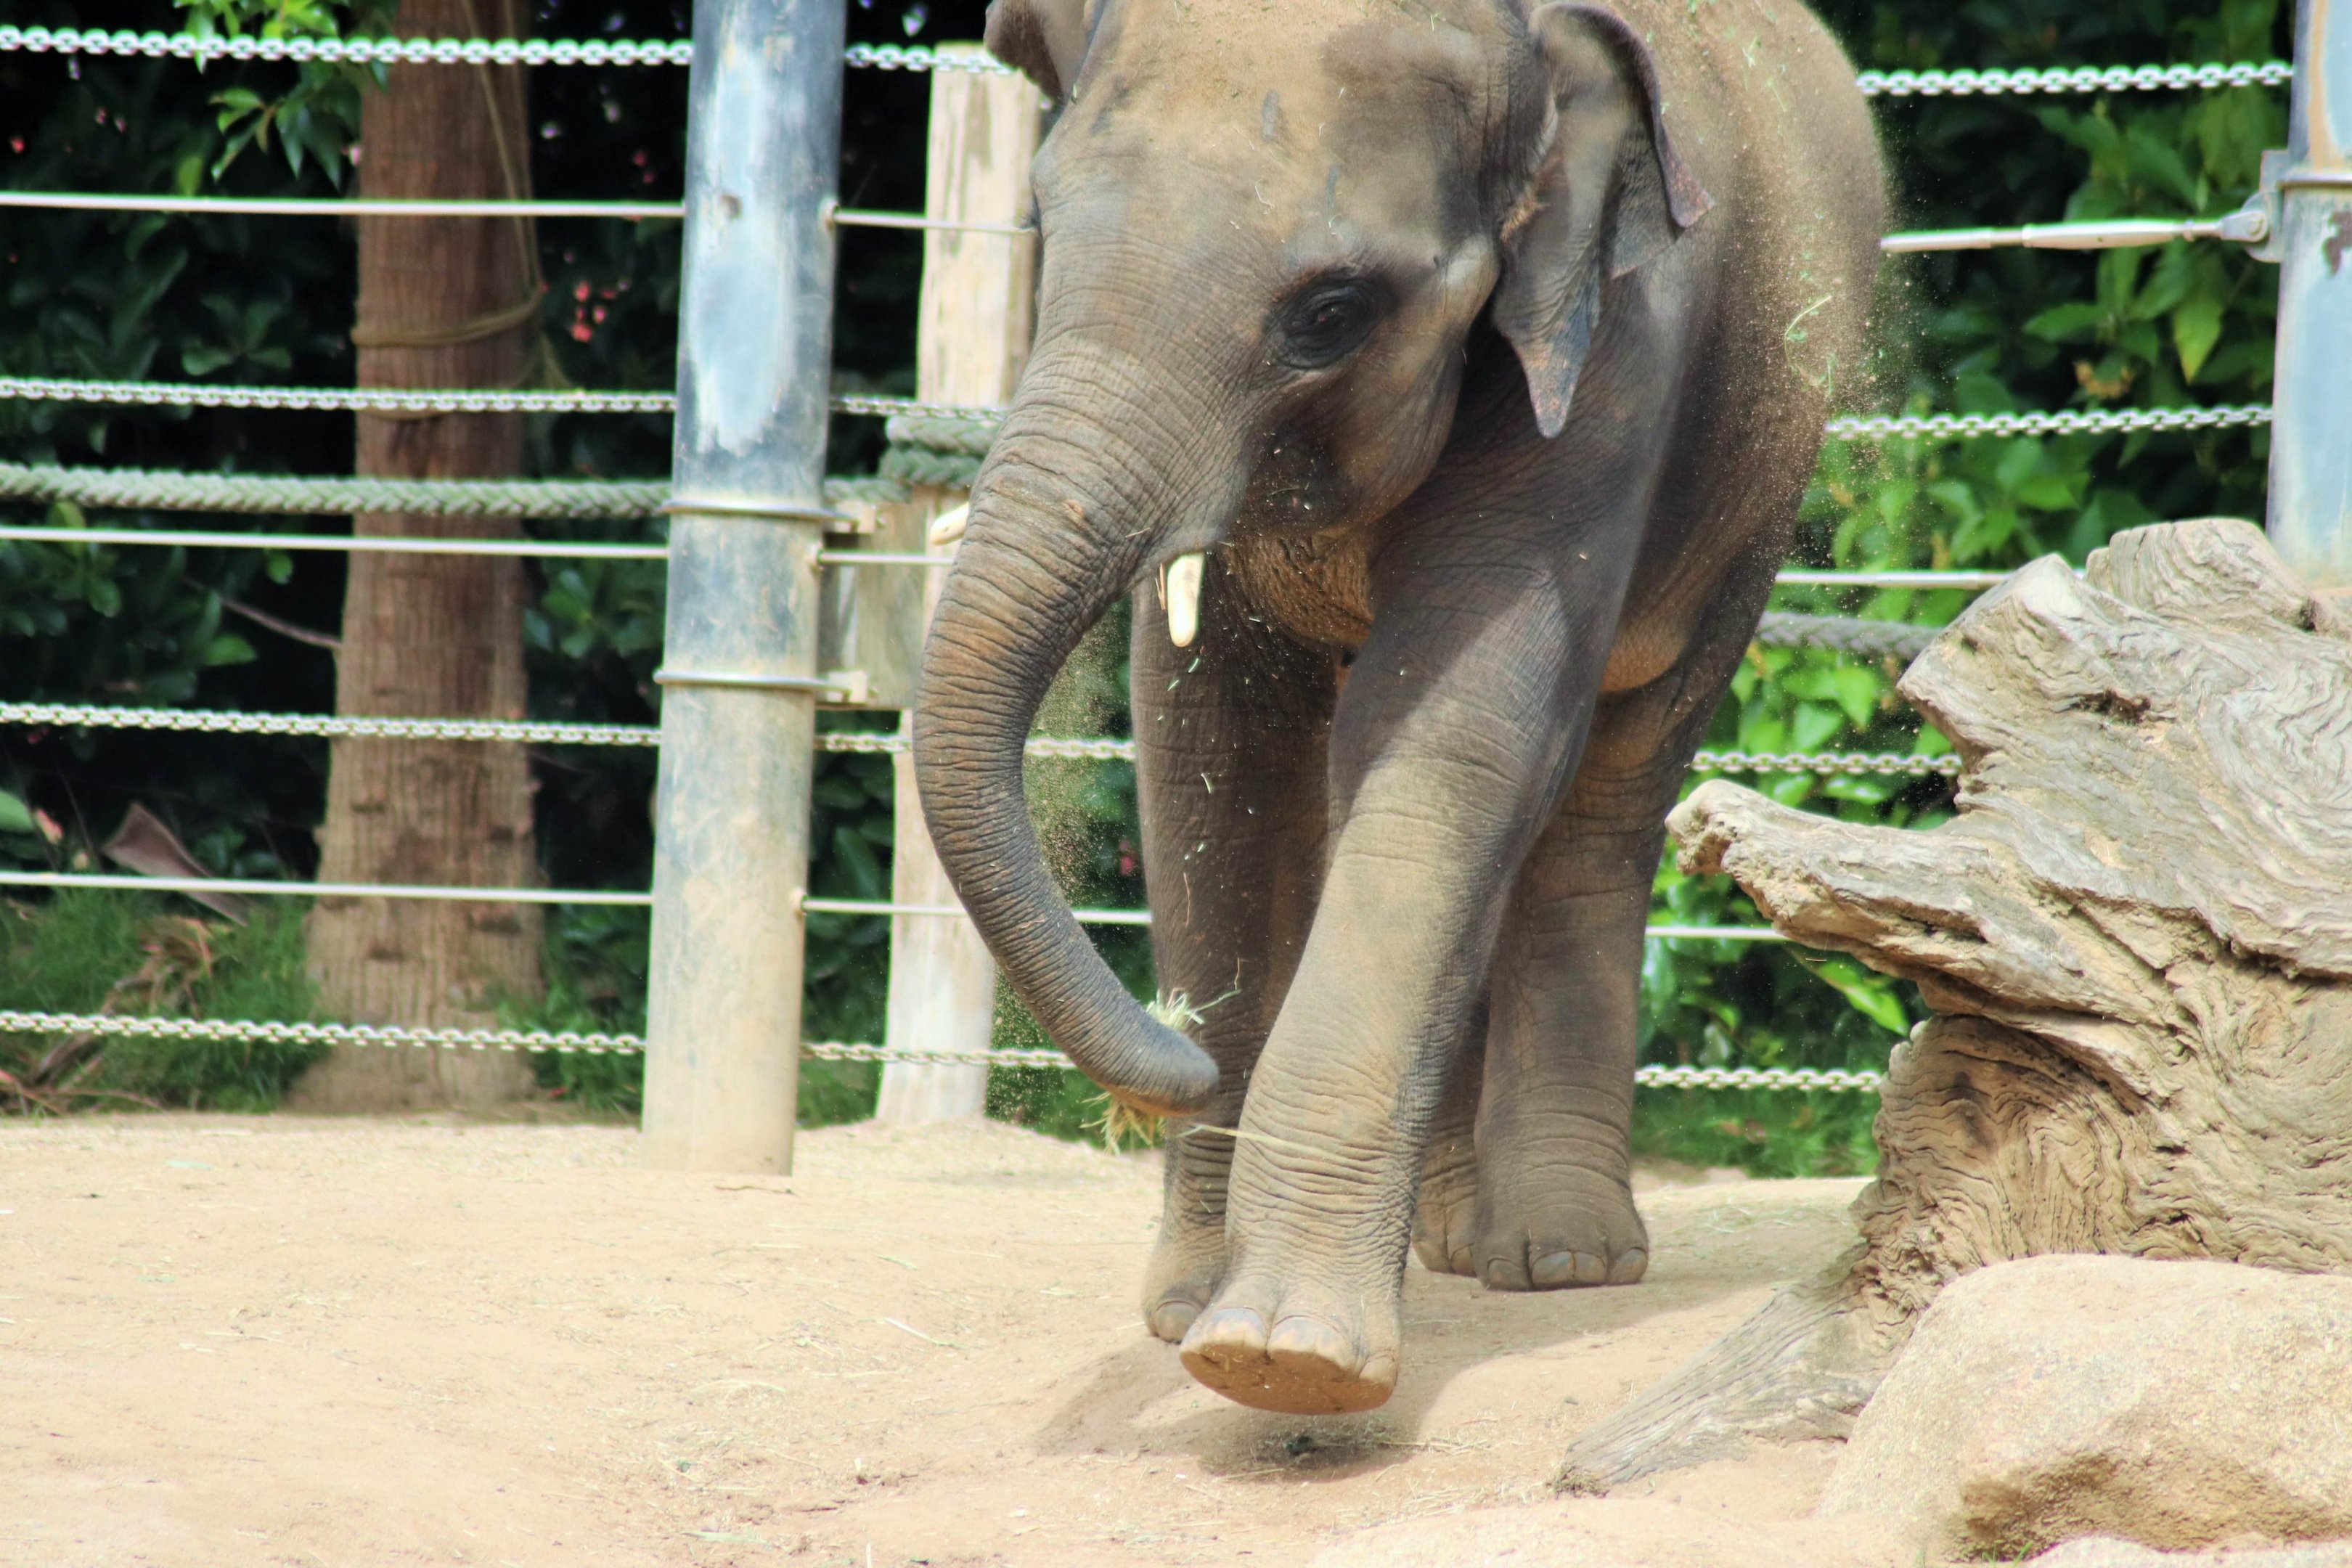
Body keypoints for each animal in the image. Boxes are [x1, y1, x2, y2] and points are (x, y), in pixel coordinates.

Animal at [911, 0, 1884, 1416]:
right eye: (1040, 222)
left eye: (1331, 313)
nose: (1182, 1063)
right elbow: (1211, 747)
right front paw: (1192, 1311)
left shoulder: (1617, 352)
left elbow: (1453, 727)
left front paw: (1283, 1360)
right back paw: (1457, 1243)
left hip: (1756, 505)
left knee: (1607, 796)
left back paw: (1559, 1259)